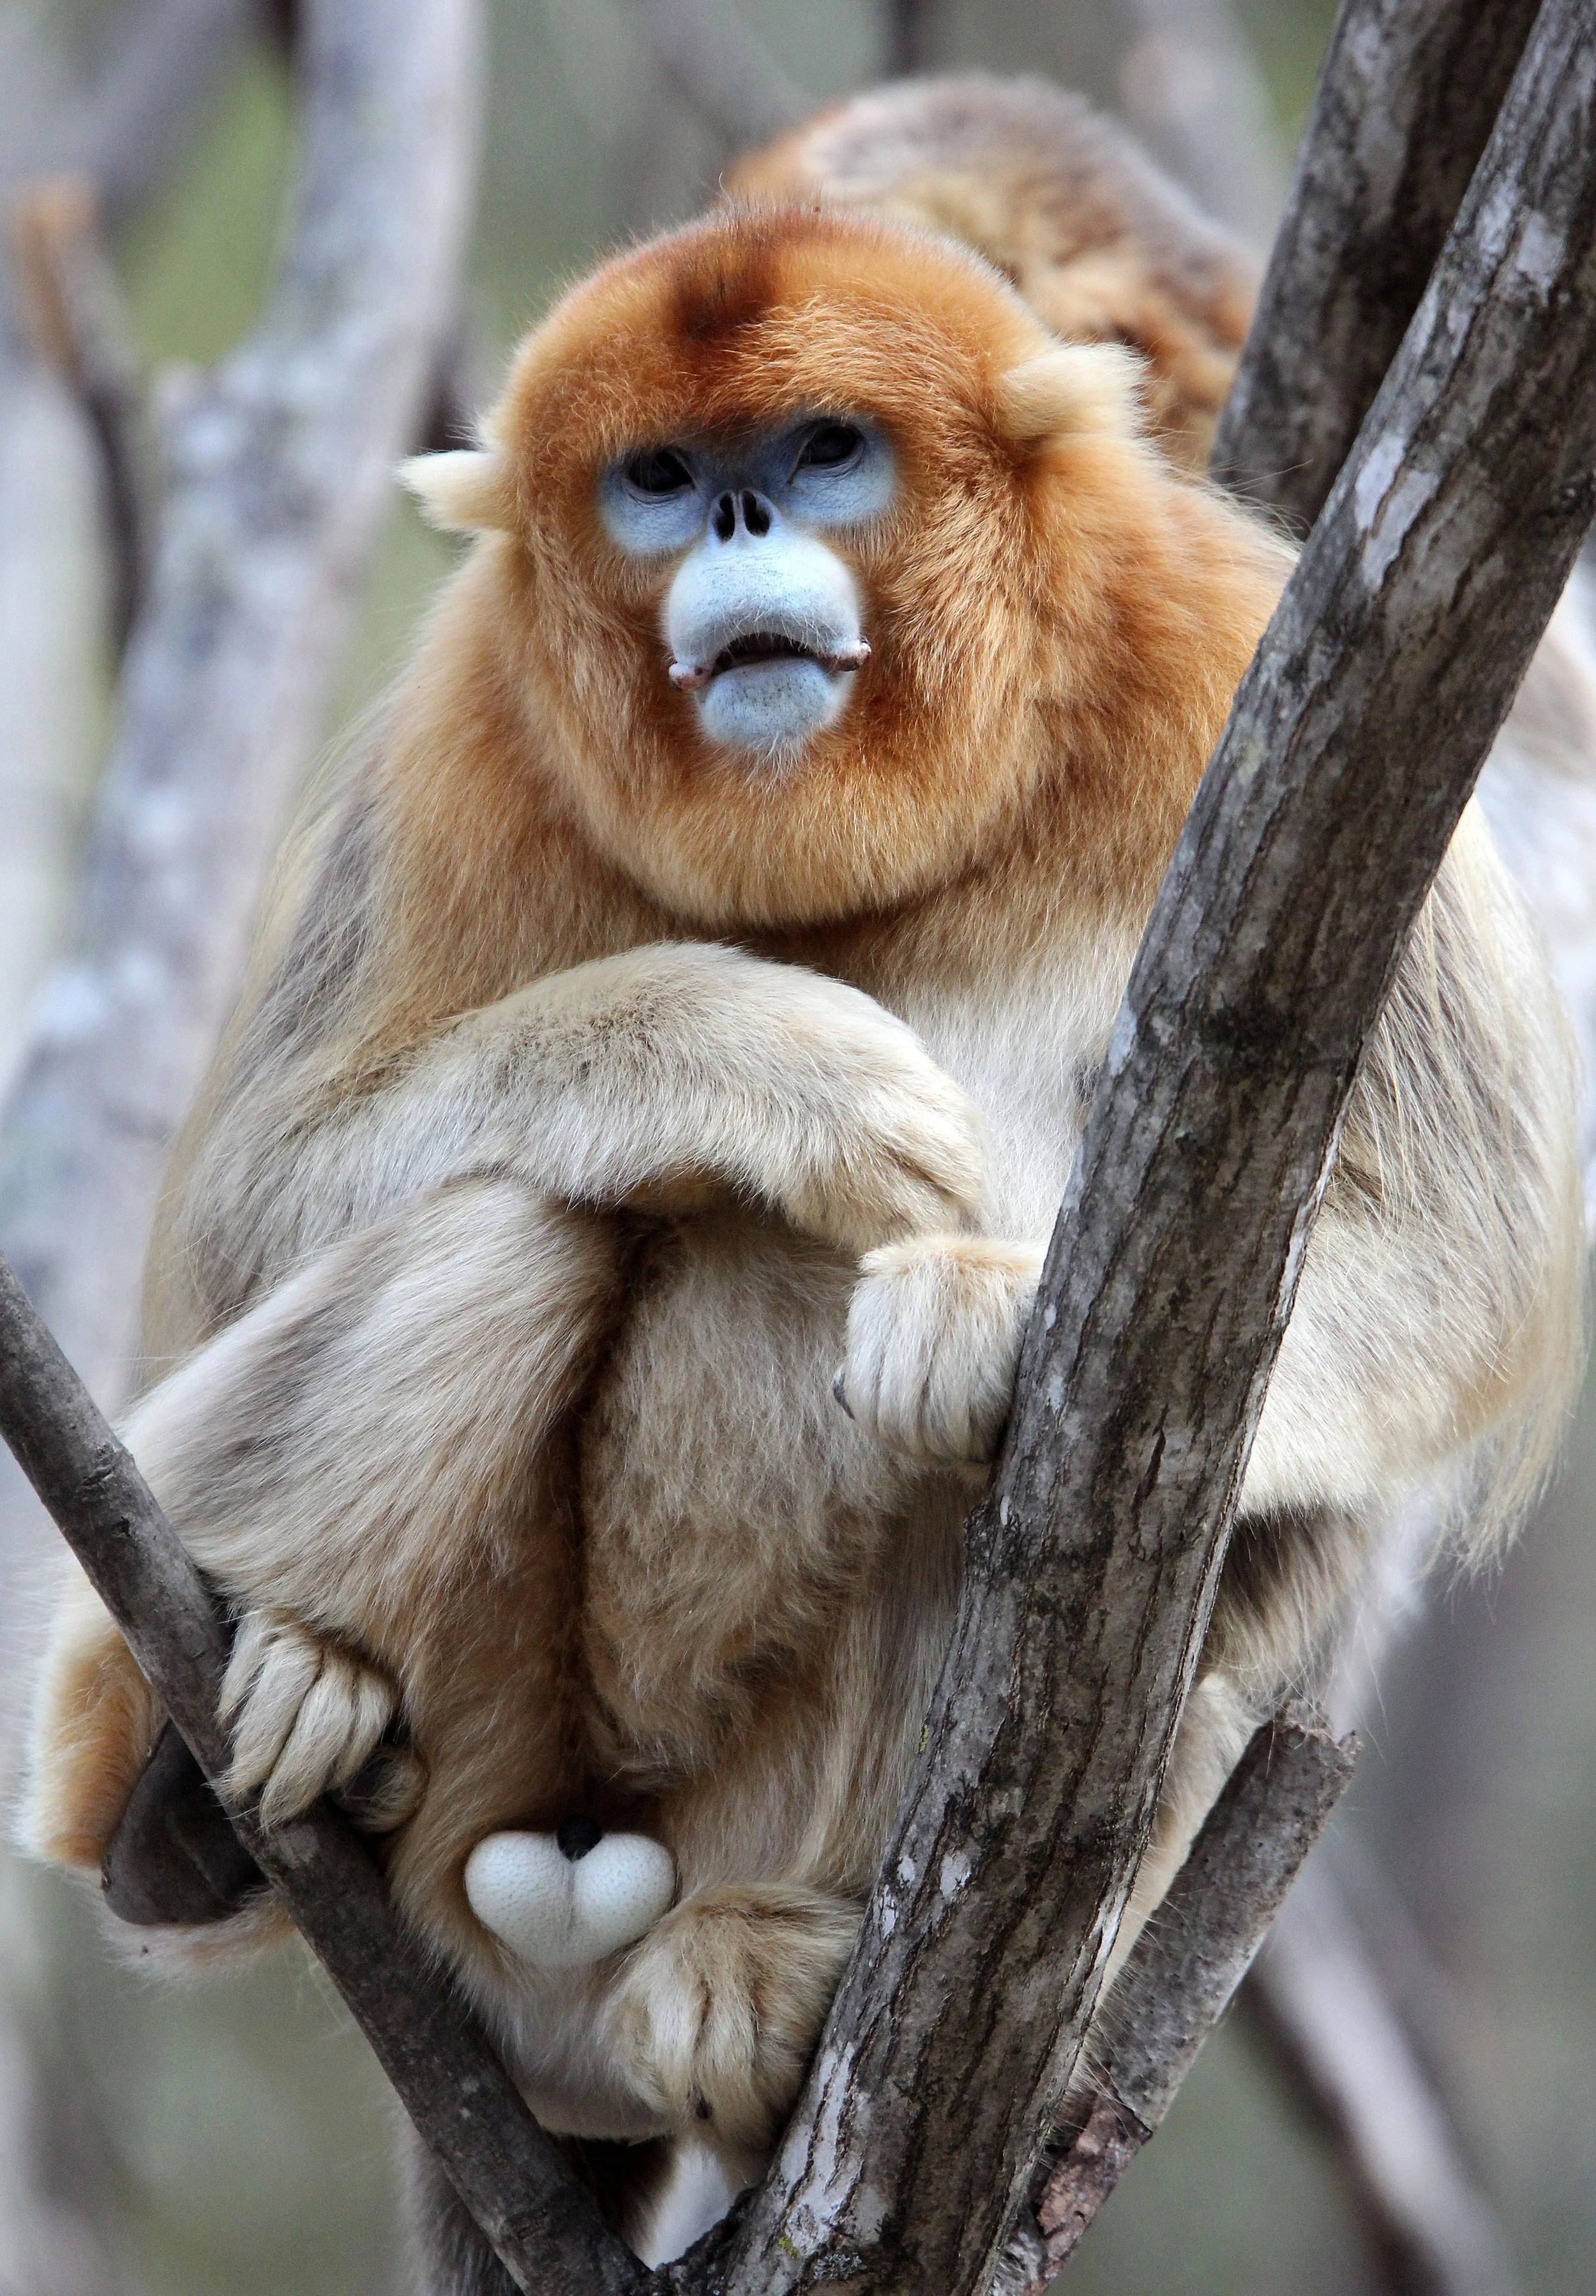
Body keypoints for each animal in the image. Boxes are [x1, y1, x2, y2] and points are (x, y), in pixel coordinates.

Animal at [18, 191, 1581, 2276]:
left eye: (822, 449)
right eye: (660, 479)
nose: (740, 520)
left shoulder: (1239, 661)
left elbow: (1464, 1240)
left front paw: (986, 1316)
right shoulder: (465, 733)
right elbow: (256, 1204)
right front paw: (767, 1062)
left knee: (1150, 1489)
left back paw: (773, 1972)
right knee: (515, 1221)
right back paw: (190, 1782)